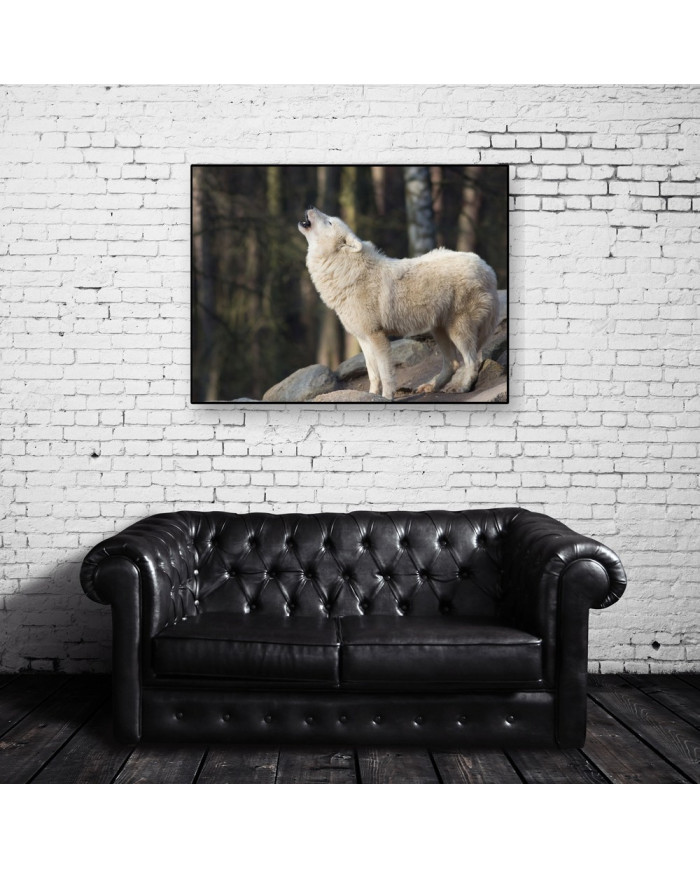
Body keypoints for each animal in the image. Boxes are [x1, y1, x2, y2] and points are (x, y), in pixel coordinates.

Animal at [298, 207, 499, 400]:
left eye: (329, 222)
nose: (311, 207)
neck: (347, 271)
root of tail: (487, 268)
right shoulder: (363, 338)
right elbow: (373, 374)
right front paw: (371, 395)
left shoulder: (377, 336)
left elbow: (385, 373)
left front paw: (387, 396)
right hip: (439, 330)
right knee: (454, 363)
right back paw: (431, 386)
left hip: (458, 330)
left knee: (471, 361)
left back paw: (461, 387)